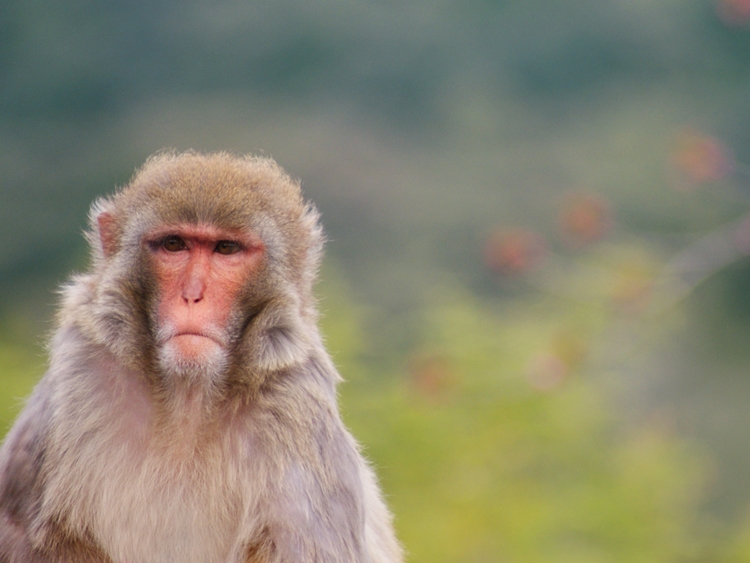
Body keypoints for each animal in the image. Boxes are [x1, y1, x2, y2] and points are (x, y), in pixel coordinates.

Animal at [0, 151, 406, 563]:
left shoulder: (295, 406)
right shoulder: (82, 373)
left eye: (226, 249)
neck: (188, 401)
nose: (192, 294)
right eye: (174, 245)